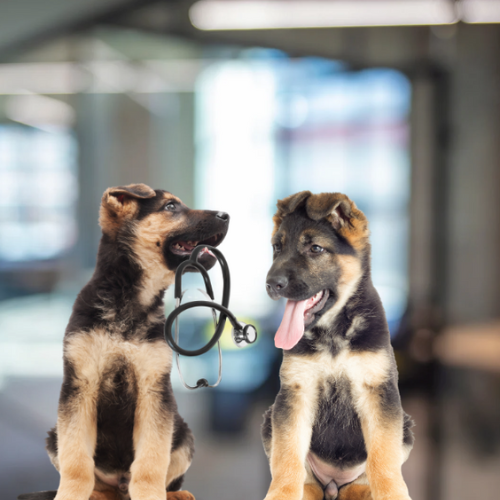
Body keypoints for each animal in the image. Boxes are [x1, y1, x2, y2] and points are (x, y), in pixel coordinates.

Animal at [42, 186, 229, 500]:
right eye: (170, 206)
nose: (226, 215)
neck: (128, 298)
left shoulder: (153, 389)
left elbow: (152, 460)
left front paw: (150, 494)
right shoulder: (80, 385)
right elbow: (76, 460)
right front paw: (70, 494)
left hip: (183, 435)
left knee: (162, 476)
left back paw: (175, 494)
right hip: (53, 435)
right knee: (101, 484)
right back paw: (99, 493)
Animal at [262, 189, 414, 500]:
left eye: (315, 249)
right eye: (276, 248)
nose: (271, 284)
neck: (333, 333)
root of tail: (333, 485)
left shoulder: (377, 391)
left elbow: (384, 458)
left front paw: (391, 493)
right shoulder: (295, 393)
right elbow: (287, 457)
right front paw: (282, 494)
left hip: (405, 428)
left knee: (364, 476)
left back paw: (360, 491)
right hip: (269, 422)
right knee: (304, 474)